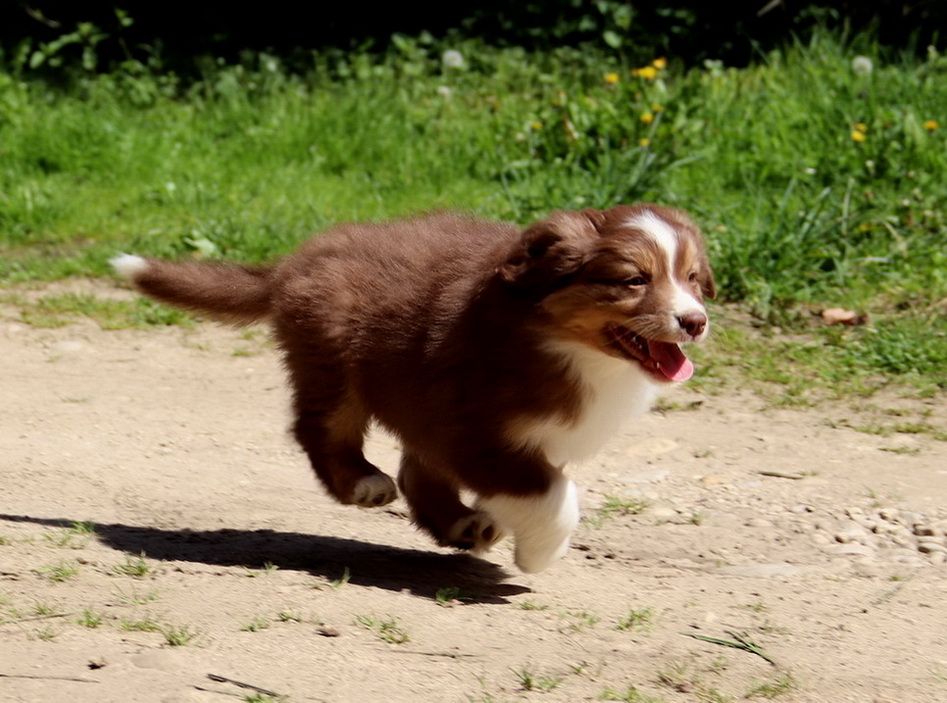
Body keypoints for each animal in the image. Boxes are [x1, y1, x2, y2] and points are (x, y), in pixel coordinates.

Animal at [112, 204, 714, 572]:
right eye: (633, 280)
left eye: (690, 277)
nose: (695, 321)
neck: (563, 343)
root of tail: (293, 263)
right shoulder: (476, 430)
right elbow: (552, 494)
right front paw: (540, 554)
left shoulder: (459, 423)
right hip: (334, 365)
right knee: (319, 428)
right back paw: (363, 483)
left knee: (415, 468)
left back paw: (464, 523)